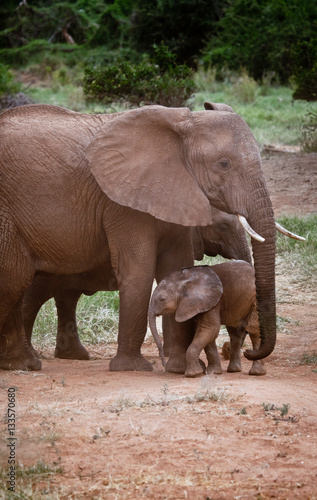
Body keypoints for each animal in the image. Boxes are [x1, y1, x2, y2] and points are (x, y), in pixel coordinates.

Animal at [22, 207, 252, 364]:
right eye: (223, 227)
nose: (227, 349)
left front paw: (169, 353)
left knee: (67, 297)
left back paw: (73, 356)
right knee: (35, 297)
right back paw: (31, 356)